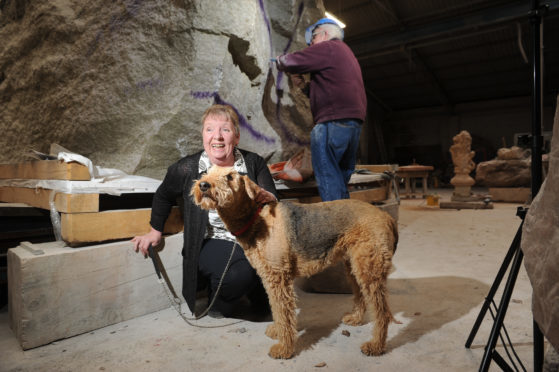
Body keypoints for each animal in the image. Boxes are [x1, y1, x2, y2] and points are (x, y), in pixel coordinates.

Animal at [191, 166, 398, 358]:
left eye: (230, 176)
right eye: (206, 171)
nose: (203, 185)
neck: (256, 219)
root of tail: (386, 217)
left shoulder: (278, 277)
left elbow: (284, 313)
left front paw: (283, 349)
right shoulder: (269, 277)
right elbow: (277, 310)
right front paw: (277, 331)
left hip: (369, 269)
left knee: (383, 313)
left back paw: (375, 346)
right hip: (354, 267)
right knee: (362, 297)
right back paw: (355, 319)